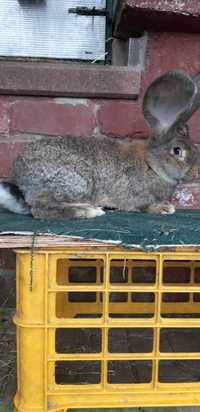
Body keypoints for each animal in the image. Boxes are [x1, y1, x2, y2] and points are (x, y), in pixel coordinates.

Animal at [0, 70, 200, 219]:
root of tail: (19, 180)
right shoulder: (136, 196)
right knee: (41, 209)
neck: (152, 166)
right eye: (177, 151)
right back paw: (87, 210)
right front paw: (164, 208)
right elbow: (142, 206)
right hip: (76, 181)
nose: (197, 172)